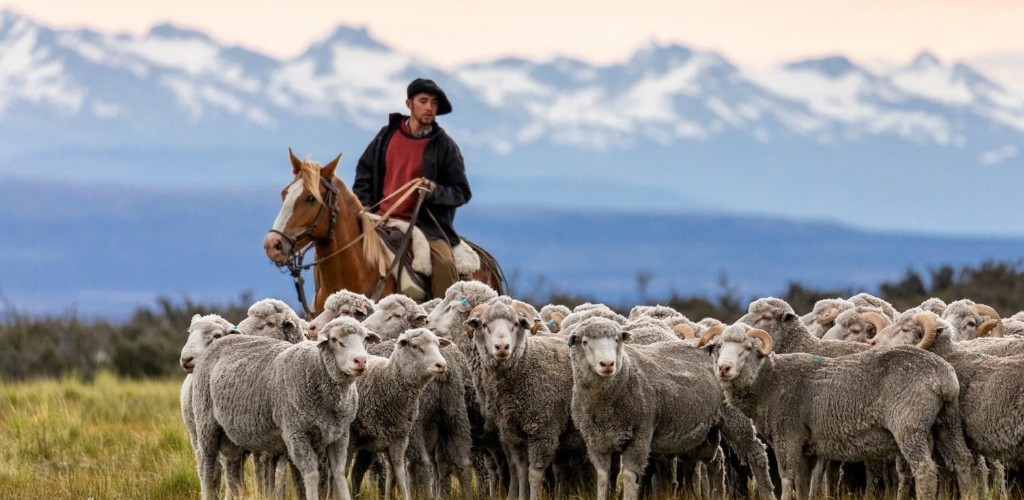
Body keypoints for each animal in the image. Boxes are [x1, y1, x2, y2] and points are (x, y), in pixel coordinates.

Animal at [190, 317, 376, 500]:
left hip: (231, 437)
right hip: (206, 424)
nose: (360, 360)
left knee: (232, 471)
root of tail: (221, 341)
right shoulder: (297, 433)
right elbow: (311, 474)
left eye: (365, 338)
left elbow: (338, 473)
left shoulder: (340, 434)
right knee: (207, 467)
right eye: (335, 340)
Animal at [348, 328, 451, 500]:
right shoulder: (349, 439)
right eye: (415, 346)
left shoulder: (399, 439)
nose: (442, 365)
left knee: (358, 470)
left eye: (438, 345)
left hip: (369, 444)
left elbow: (400, 474)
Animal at [567, 317, 776, 500]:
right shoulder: (596, 443)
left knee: (756, 453)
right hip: (705, 429)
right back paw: (718, 494)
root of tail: (713, 346)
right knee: (716, 461)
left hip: (735, 417)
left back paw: (767, 493)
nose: (608, 364)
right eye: (585, 342)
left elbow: (628, 478)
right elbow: (602, 479)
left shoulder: (639, 437)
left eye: (617, 340)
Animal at [700, 323, 977, 500]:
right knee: (963, 462)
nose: (724, 368)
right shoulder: (807, 446)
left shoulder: (788, 436)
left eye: (747, 348)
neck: (770, 382)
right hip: (946, 423)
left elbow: (787, 478)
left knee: (925, 470)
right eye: (718, 346)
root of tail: (943, 375)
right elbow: (803, 484)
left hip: (910, 426)